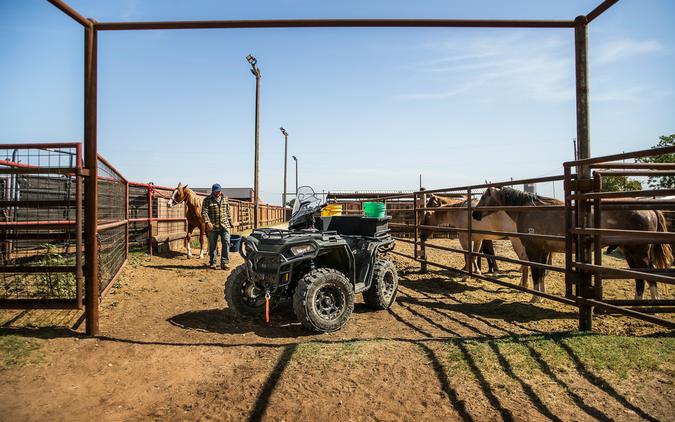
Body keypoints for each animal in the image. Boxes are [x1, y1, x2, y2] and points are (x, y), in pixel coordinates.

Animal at [472, 186, 672, 302]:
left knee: (649, 273)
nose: (474, 214)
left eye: (483, 197)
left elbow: (537, 273)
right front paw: (541, 296)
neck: (529, 210)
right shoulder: (544, 250)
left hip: (638, 251)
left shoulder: (534, 250)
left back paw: (653, 304)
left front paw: (535, 298)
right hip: (630, 251)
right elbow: (542, 273)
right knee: (639, 276)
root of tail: (650, 210)